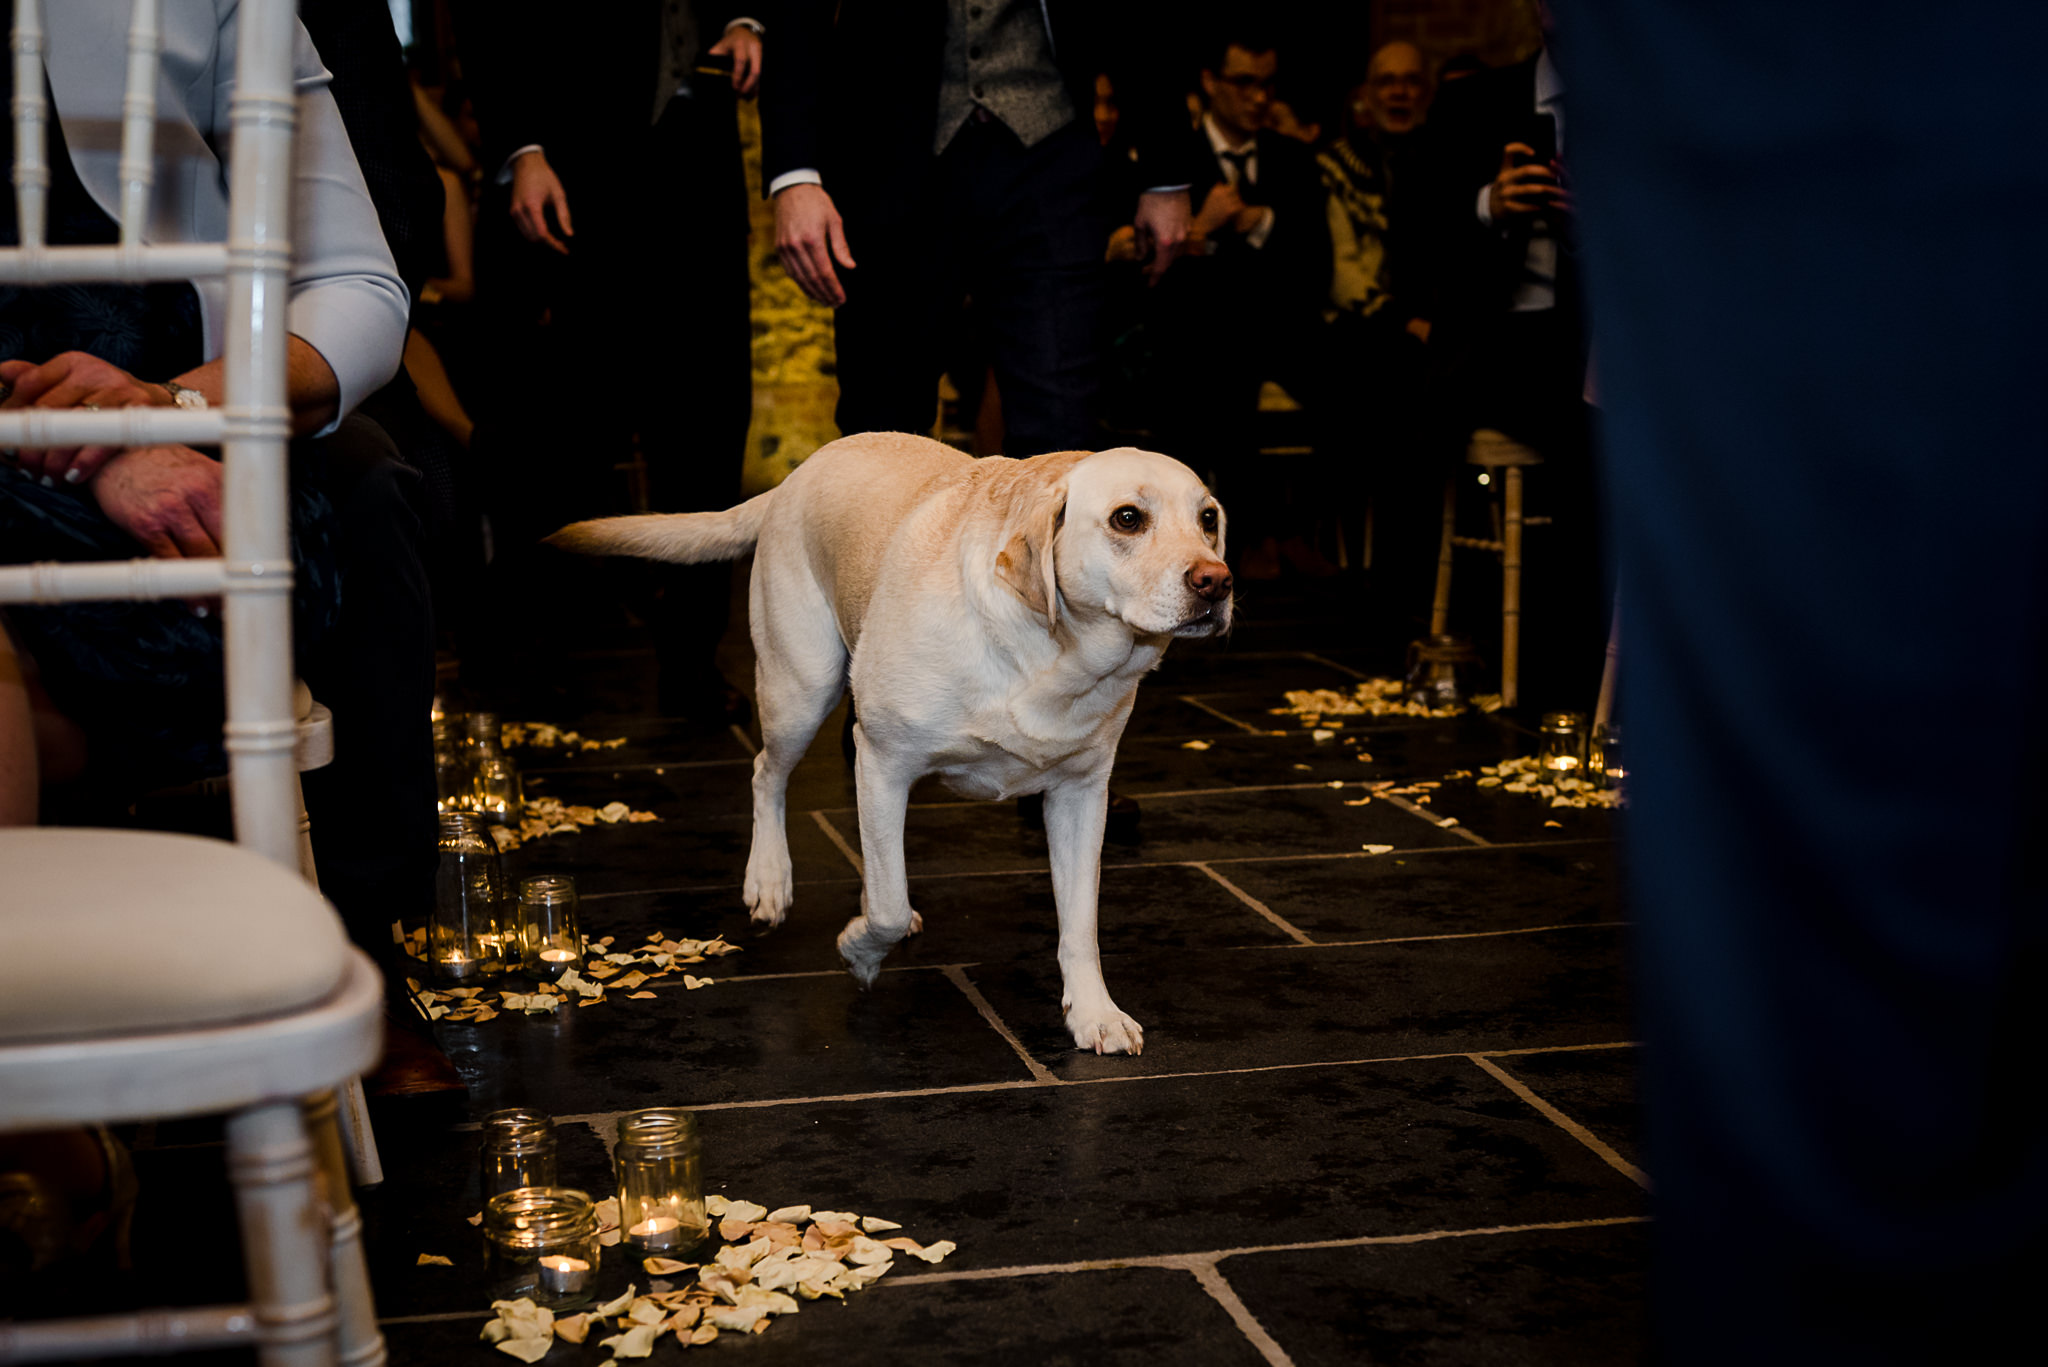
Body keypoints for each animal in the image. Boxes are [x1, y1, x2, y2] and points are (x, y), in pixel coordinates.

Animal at [544, 432, 1236, 1057]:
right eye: (1127, 518)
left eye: (1208, 520)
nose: (1217, 583)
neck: (1055, 658)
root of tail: (796, 475)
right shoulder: (886, 763)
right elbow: (888, 908)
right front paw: (859, 950)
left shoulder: (1080, 795)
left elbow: (1079, 923)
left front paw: (1094, 1013)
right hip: (800, 691)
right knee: (768, 775)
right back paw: (768, 880)